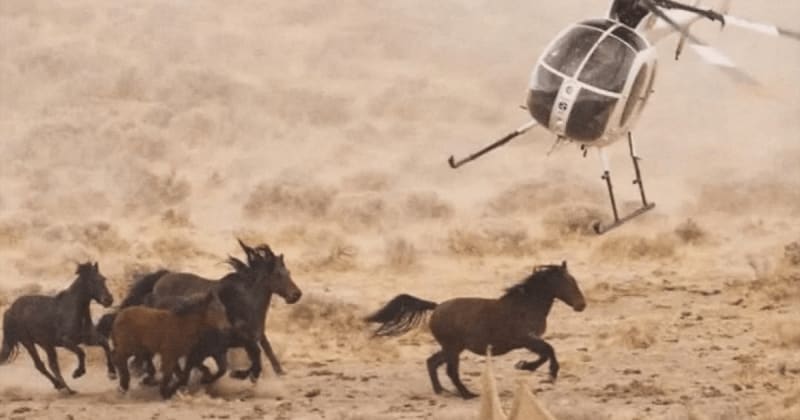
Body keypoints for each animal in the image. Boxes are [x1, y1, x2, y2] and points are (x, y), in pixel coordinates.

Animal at [0, 261, 114, 394]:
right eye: (93, 281)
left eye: (103, 279)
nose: (109, 300)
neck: (73, 310)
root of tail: (11, 309)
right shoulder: (66, 341)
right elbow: (81, 352)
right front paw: (78, 372)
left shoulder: (88, 338)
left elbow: (105, 344)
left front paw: (112, 374)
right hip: (28, 342)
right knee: (40, 365)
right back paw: (61, 386)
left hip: (46, 343)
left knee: (53, 365)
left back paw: (66, 388)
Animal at [365, 261, 586, 399]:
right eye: (567, 282)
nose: (581, 305)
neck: (526, 305)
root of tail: (436, 307)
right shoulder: (526, 339)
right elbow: (548, 350)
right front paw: (533, 368)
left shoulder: (529, 341)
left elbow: (546, 352)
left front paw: (529, 367)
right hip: (453, 348)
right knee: (450, 370)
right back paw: (467, 395)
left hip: (452, 348)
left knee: (432, 362)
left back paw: (441, 391)